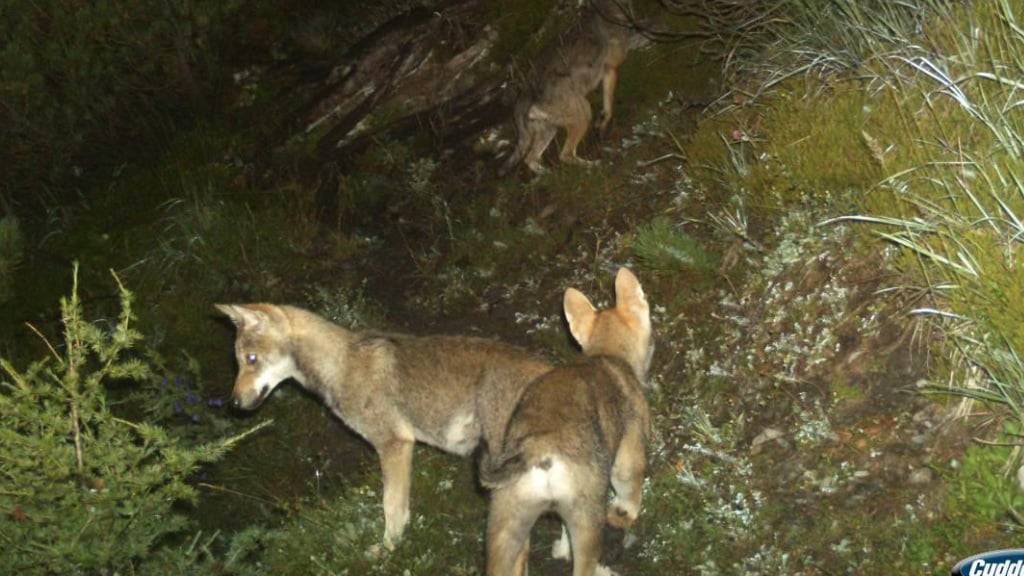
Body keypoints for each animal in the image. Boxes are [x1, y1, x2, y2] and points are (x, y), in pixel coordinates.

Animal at [481, 268, 655, 573]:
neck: (606, 353)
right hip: (587, 521)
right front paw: (627, 513)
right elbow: (630, 492)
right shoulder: (628, 455)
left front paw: (561, 550)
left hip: (505, 529)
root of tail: (537, 451)